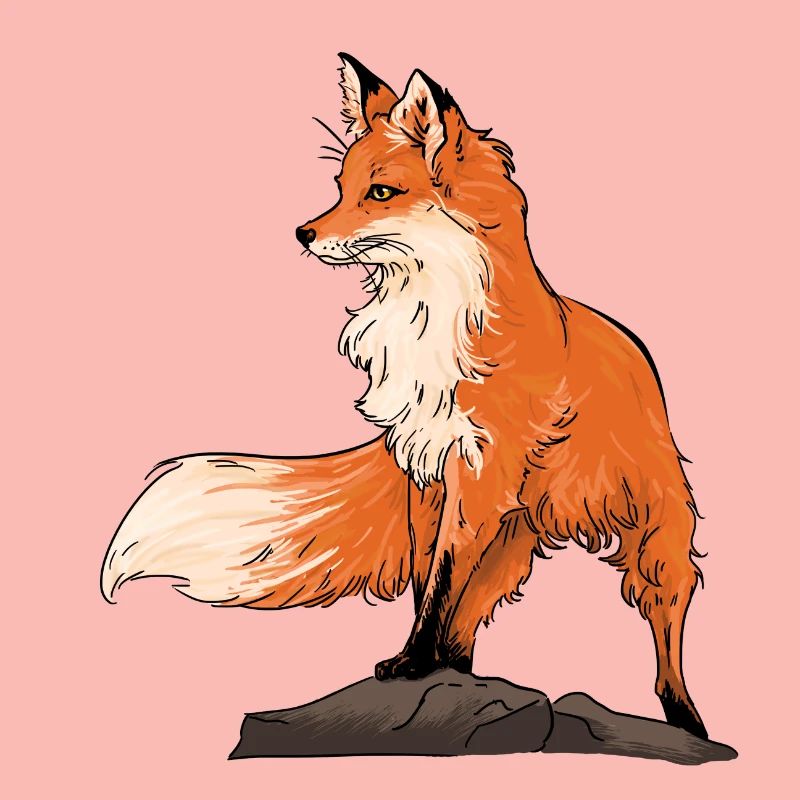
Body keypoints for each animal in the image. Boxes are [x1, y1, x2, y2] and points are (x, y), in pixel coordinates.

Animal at [101, 54, 709, 740]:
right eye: (340, 185)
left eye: (381, 193)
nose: (302, 233)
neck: (427, 320)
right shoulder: (426, 468)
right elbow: (429, 585)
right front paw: (420, 666)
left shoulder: (476, 474)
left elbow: (440, 583)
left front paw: (415, 663)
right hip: (511, 535)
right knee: (471, 618)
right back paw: (463, 671)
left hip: (654, 525)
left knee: (664, 619)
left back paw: (686, 718)